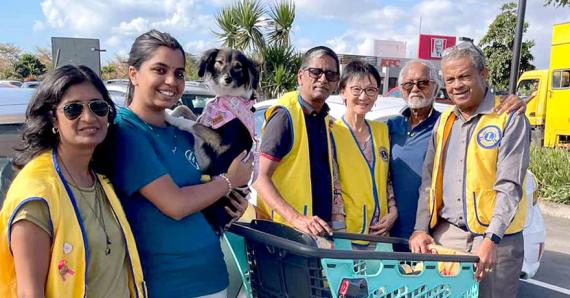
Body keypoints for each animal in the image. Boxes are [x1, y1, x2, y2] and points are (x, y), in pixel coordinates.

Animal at [164, 47, 258, 232]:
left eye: (238, 67)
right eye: (219, 62)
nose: (227, 79)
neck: (227, 97)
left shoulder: (216, 144)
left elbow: (192, 125)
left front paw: (169, 117)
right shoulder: (204, 123)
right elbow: (184, 108)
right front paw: (170, 111)